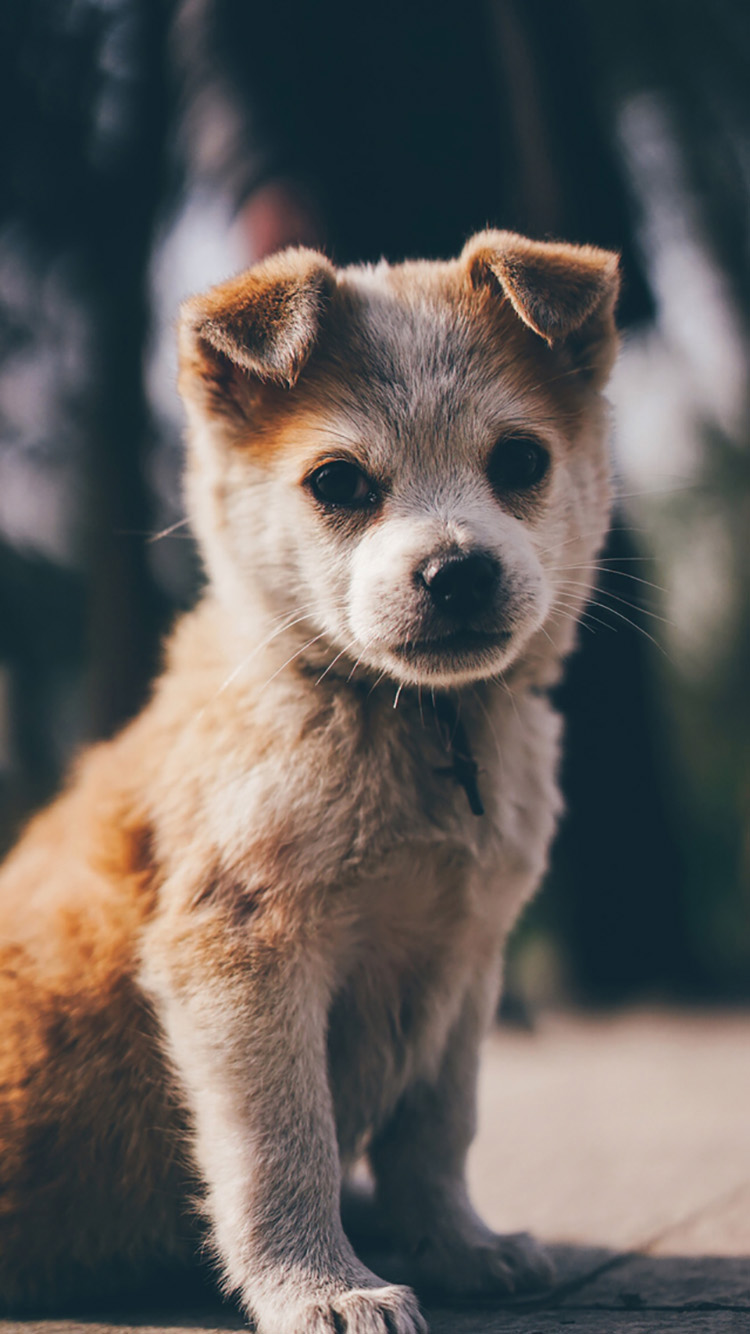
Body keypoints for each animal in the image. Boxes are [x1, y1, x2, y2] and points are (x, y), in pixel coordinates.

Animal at [0, 232, 616, 1334]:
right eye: (338, 481)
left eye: (521, 461)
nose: (458, 572)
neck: (408, 723)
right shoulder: (244, 954)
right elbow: (285, 1149)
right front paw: (322, 1287)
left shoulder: (465, 962)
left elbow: (437, 1130)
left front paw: (456, 1245)